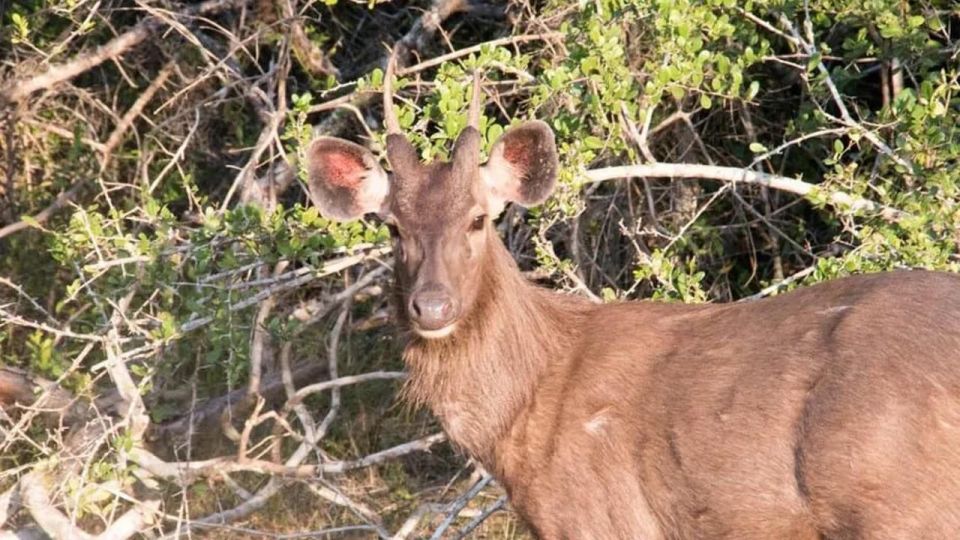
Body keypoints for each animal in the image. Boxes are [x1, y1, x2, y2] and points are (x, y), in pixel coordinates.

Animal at [304, 51, 960, 540]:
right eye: (393, 227)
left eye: (477, 220)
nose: (433, 306)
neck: (520, 424)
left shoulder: (599, 519)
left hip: (897, 505)